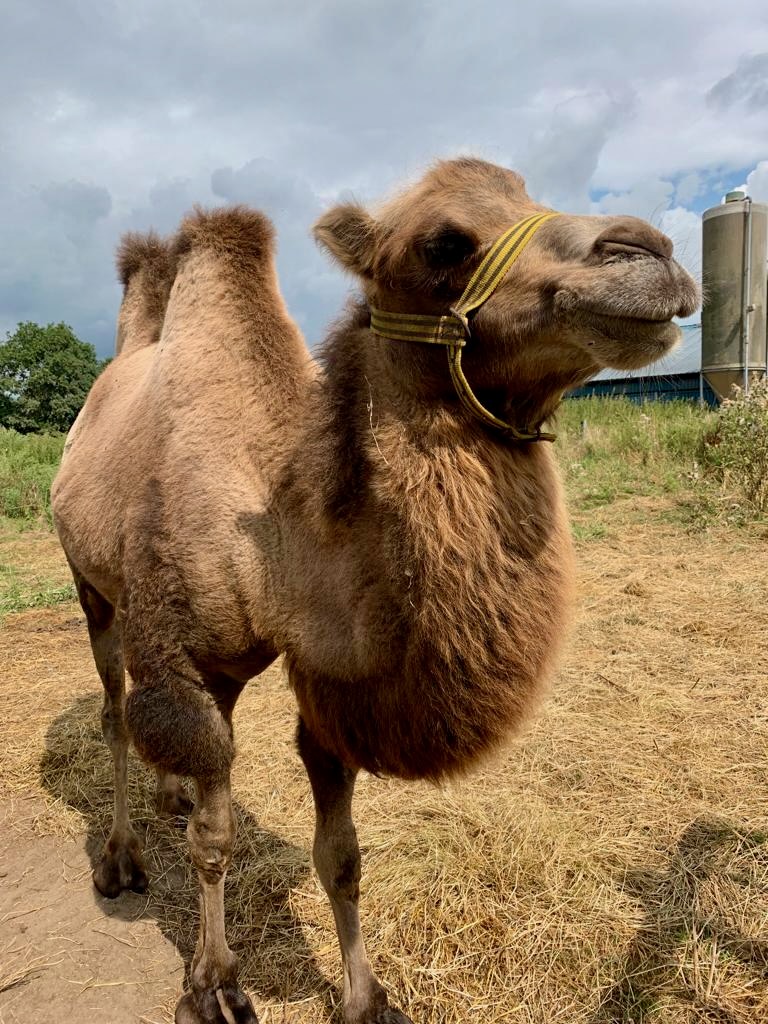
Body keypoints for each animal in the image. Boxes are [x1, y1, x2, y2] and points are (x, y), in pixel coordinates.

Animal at [51, 157, 699, 1024]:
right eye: (443, 243)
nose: (649, 253)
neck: (278, 539)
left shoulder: (330, 683)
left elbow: (342, 854)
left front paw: (365, 996)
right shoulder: (193, 663)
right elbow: (216, 842)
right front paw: (213, 982)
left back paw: (169, 796)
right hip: (91, 585)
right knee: (115, 711)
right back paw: (122, 858)